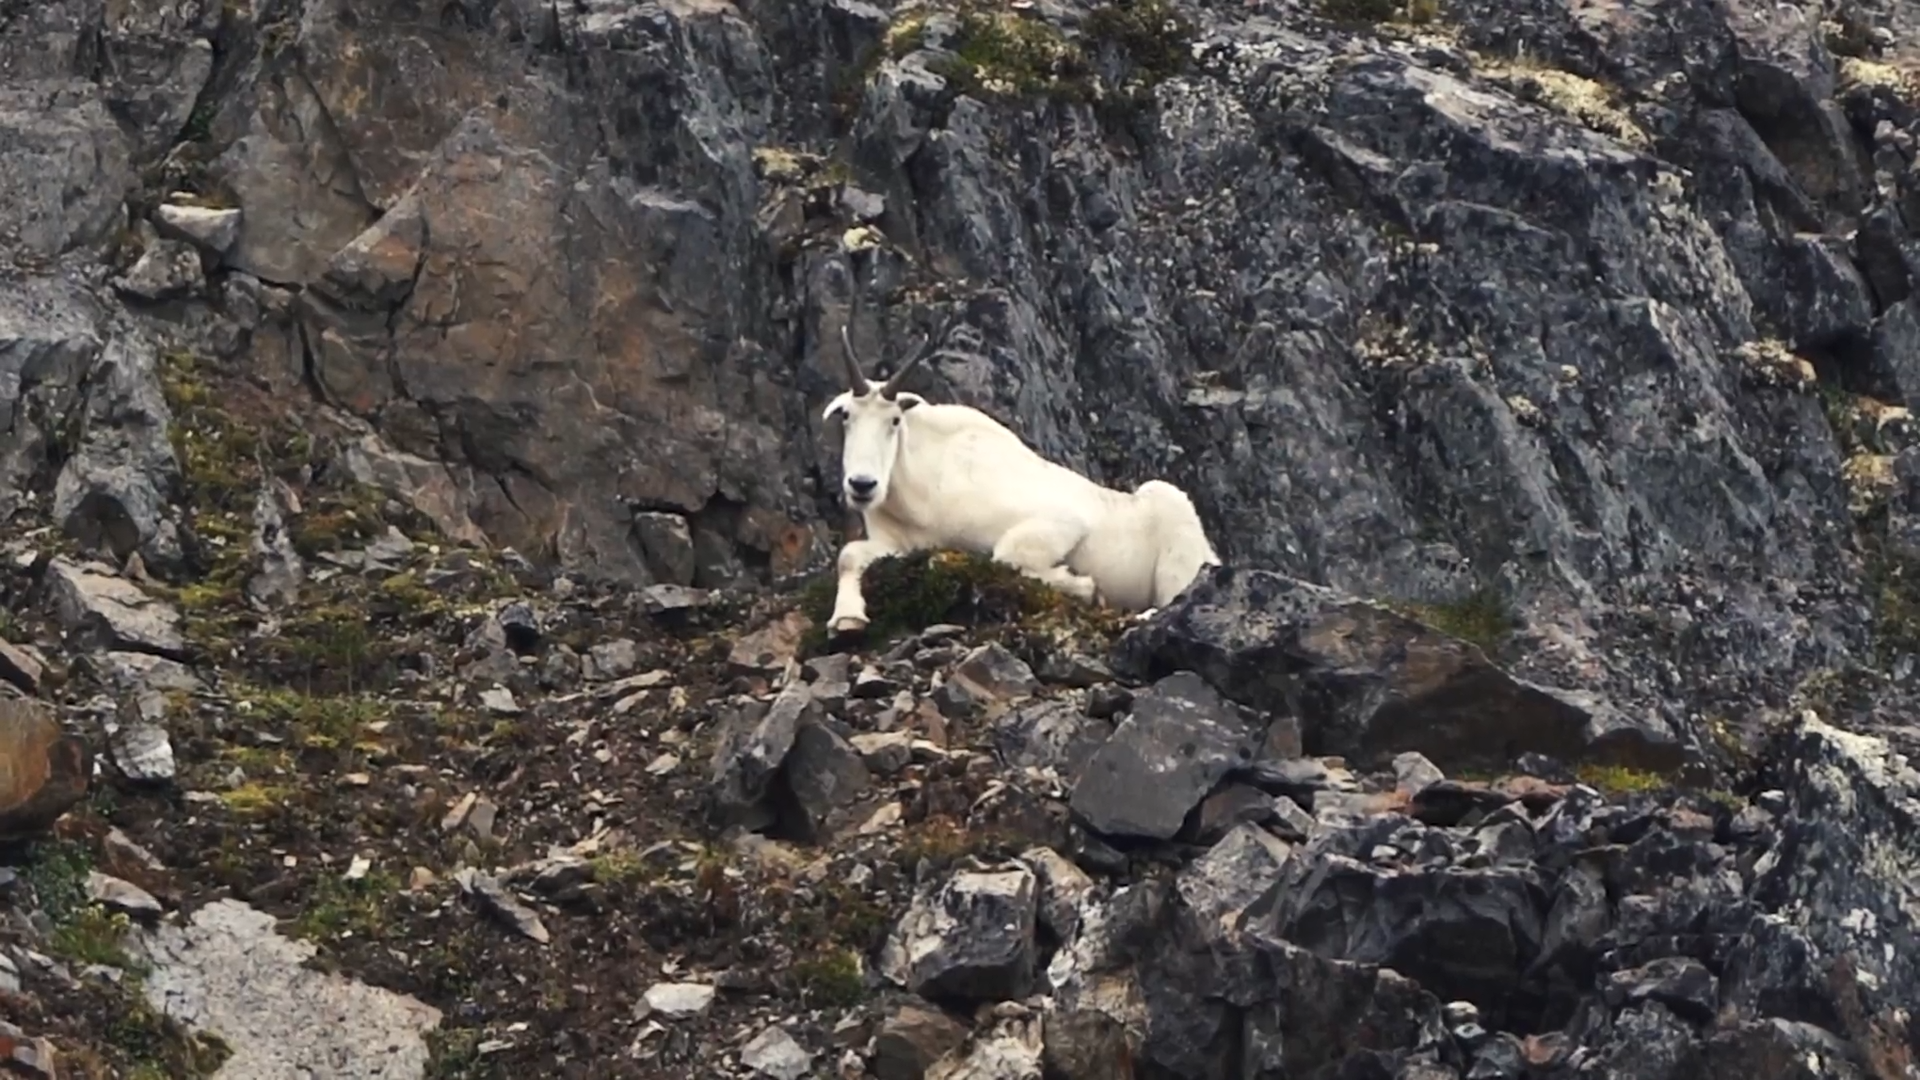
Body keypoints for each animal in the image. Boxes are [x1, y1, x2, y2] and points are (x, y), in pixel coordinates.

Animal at [818, 323, 1221, 637]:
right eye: (846, 416)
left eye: (895, 421)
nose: (862, 485)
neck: (925, 483)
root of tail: (1209, 553)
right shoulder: (903, 543)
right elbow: (849, 556)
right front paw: (847, 618)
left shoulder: (1062, 521)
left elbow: (1006, 555)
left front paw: (1084, 586)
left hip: (1175, 536)